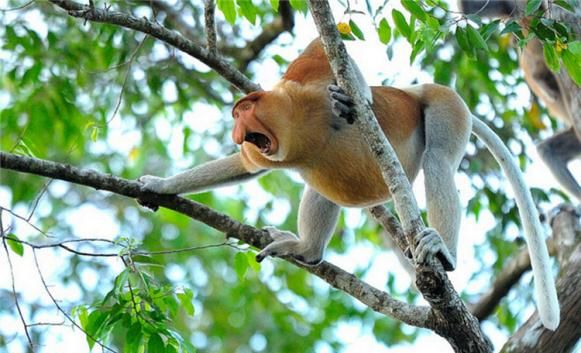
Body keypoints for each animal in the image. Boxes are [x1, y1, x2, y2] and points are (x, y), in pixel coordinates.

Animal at [138, 39, 560, 330]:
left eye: (244, 110)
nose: (236, 129)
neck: (294, 130)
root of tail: (415, 90)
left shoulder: (301, 86)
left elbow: (324, 49)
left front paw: (352, 100)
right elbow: (246, 168)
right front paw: (159, 185)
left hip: (447, 105)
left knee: (438, 160)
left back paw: (443, 252)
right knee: (320, 185)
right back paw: (306, 250)